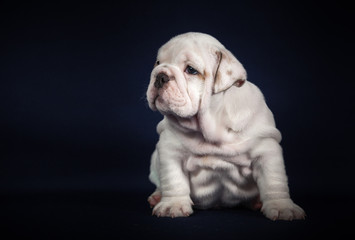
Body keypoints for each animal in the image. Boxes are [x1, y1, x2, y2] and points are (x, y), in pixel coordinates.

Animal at [145, 32, 306, 220]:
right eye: (157, 63)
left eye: (191, 70)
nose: (160, 76)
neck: (212, 124)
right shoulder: (170, 150)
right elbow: (173, 180)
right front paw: (173, 205)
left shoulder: (266, 150)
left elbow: (274, 181)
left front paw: (282, 207)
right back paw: (157, 196)